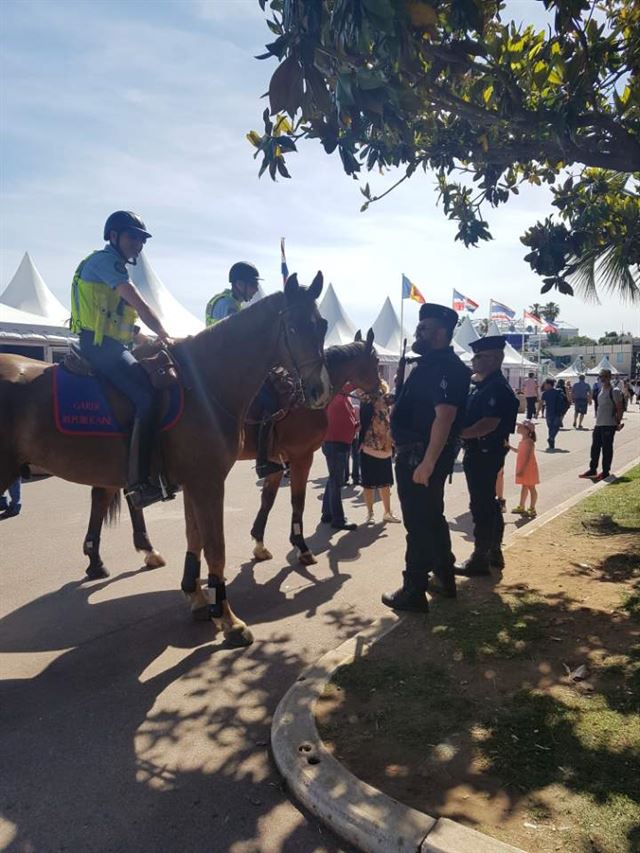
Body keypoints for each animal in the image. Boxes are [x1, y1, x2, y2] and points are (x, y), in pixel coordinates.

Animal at [0, 272, 330, 644]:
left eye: (322, 325)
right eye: (293, 328)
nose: (319, 390)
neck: (205, 383)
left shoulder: (195, 481)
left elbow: (195, 537)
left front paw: (198, 596)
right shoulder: (211, 481)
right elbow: (216, 546)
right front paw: (228, 618)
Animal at [80, 326, 380, 580]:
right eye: (377, 363)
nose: (381, 392)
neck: (302, 397)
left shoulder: (276, 461)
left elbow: (267, 500)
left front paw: (259, 542)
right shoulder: (300, 458)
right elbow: (297, 502)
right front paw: (301, 547)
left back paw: (119, 554)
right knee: (107, 498)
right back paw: (109, 556)